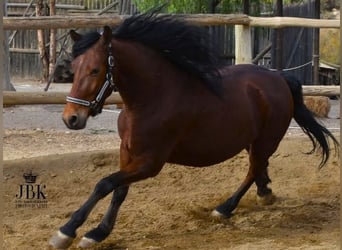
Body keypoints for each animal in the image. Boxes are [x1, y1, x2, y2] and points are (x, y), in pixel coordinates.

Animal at [49, 12, 338, 249]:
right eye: (74, 69)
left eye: (95, 69)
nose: (71, 118)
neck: (151, 99)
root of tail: (279, 77)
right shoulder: (127, 152)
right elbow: (119, 190)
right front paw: (98, 232)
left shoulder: (150, 163)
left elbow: (104, 184)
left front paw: (69, 232)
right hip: (252, 140)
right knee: (259, 168)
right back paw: (264, 194)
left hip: (267, 139)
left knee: (252, 169)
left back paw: (225, 208)